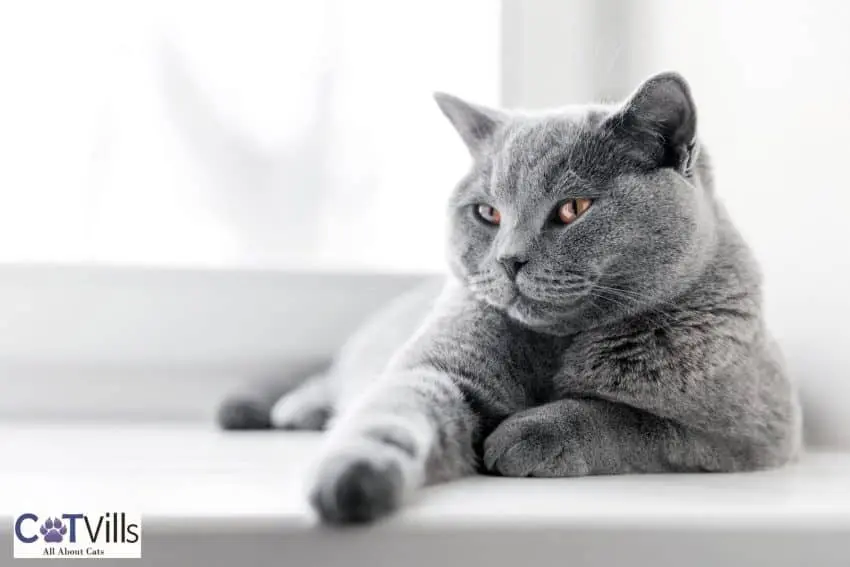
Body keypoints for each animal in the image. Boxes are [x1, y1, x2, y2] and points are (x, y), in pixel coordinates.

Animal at [219, 72, 800, 528]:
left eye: (573, 209)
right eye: (487, 213)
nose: (508, 260)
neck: (555, 344)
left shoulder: (748, 435)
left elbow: (632, 419)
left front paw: (527, 433)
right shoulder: (436, 368)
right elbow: (392, 411)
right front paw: (352, 476)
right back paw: (283, 408)